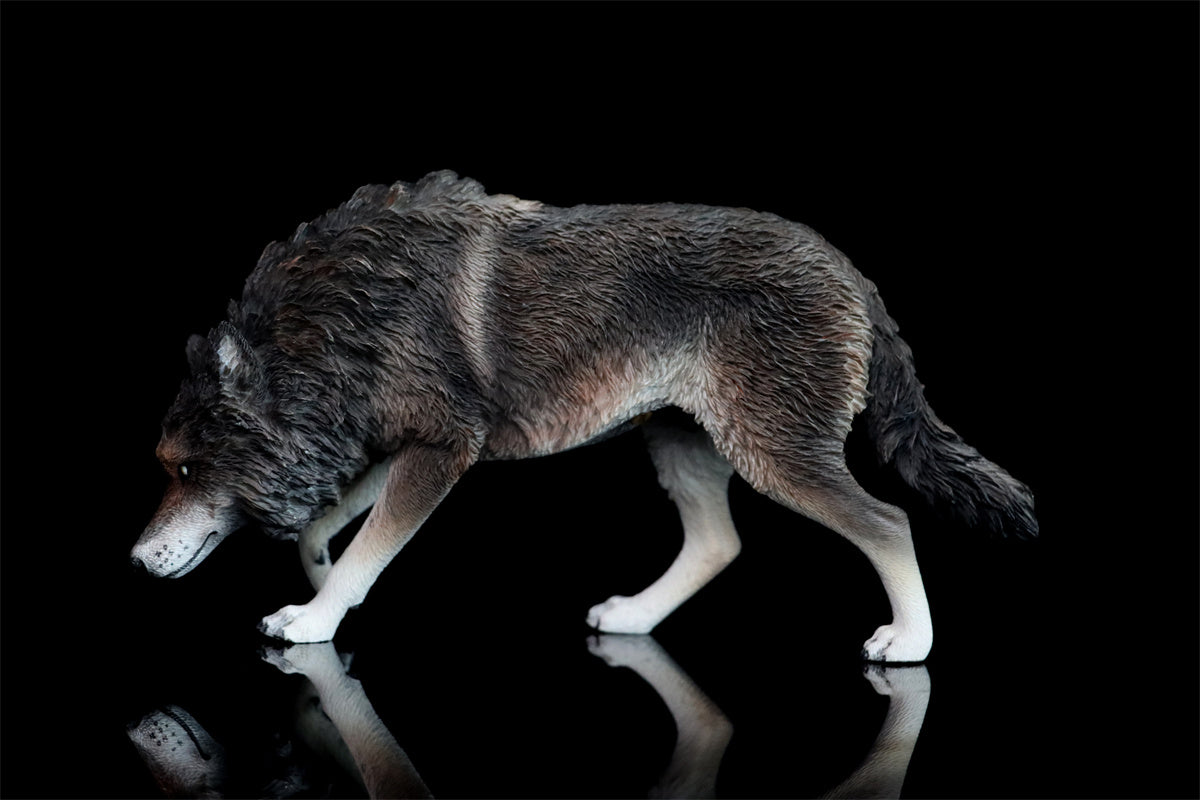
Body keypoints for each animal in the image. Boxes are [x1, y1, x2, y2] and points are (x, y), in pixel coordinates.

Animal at [131, 170, 1036, 662]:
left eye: (186, 469)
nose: (136, 563)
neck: (331, 319)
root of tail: (854, 273)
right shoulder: (400, 444)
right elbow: (332, 528)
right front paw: (319, 581)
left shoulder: (441, 450)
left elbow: (366, 551)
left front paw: (316, 619)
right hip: (681, 445)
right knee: (720, 543)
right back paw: (634, 617)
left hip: (774, 456)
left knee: (888, 523)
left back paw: (910, 643)